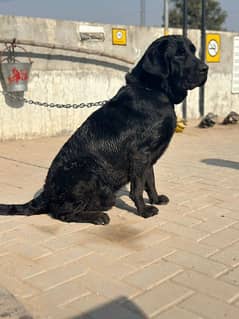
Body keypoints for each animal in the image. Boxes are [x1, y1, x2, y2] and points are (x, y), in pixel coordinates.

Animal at [0, 35, 207, 225]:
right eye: (179, 54)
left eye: (193, 50)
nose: (205, 68)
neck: (152, 90)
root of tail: (46, 193)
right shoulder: (140, 154)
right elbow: (138, 188)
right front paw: (144, 210)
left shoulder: (149, 157)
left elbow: (150, 181)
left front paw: (155, 199)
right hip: (87, 169)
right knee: (62, 213)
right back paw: (98, 216)